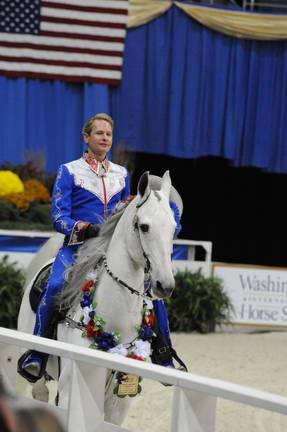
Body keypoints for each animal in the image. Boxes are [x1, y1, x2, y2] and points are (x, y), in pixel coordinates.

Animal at [16, 170, 182, 426]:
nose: (165, 285)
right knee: (38, 391)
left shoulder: (120, 400)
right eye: (144, 226)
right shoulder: (70, 392)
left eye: (173, 227)